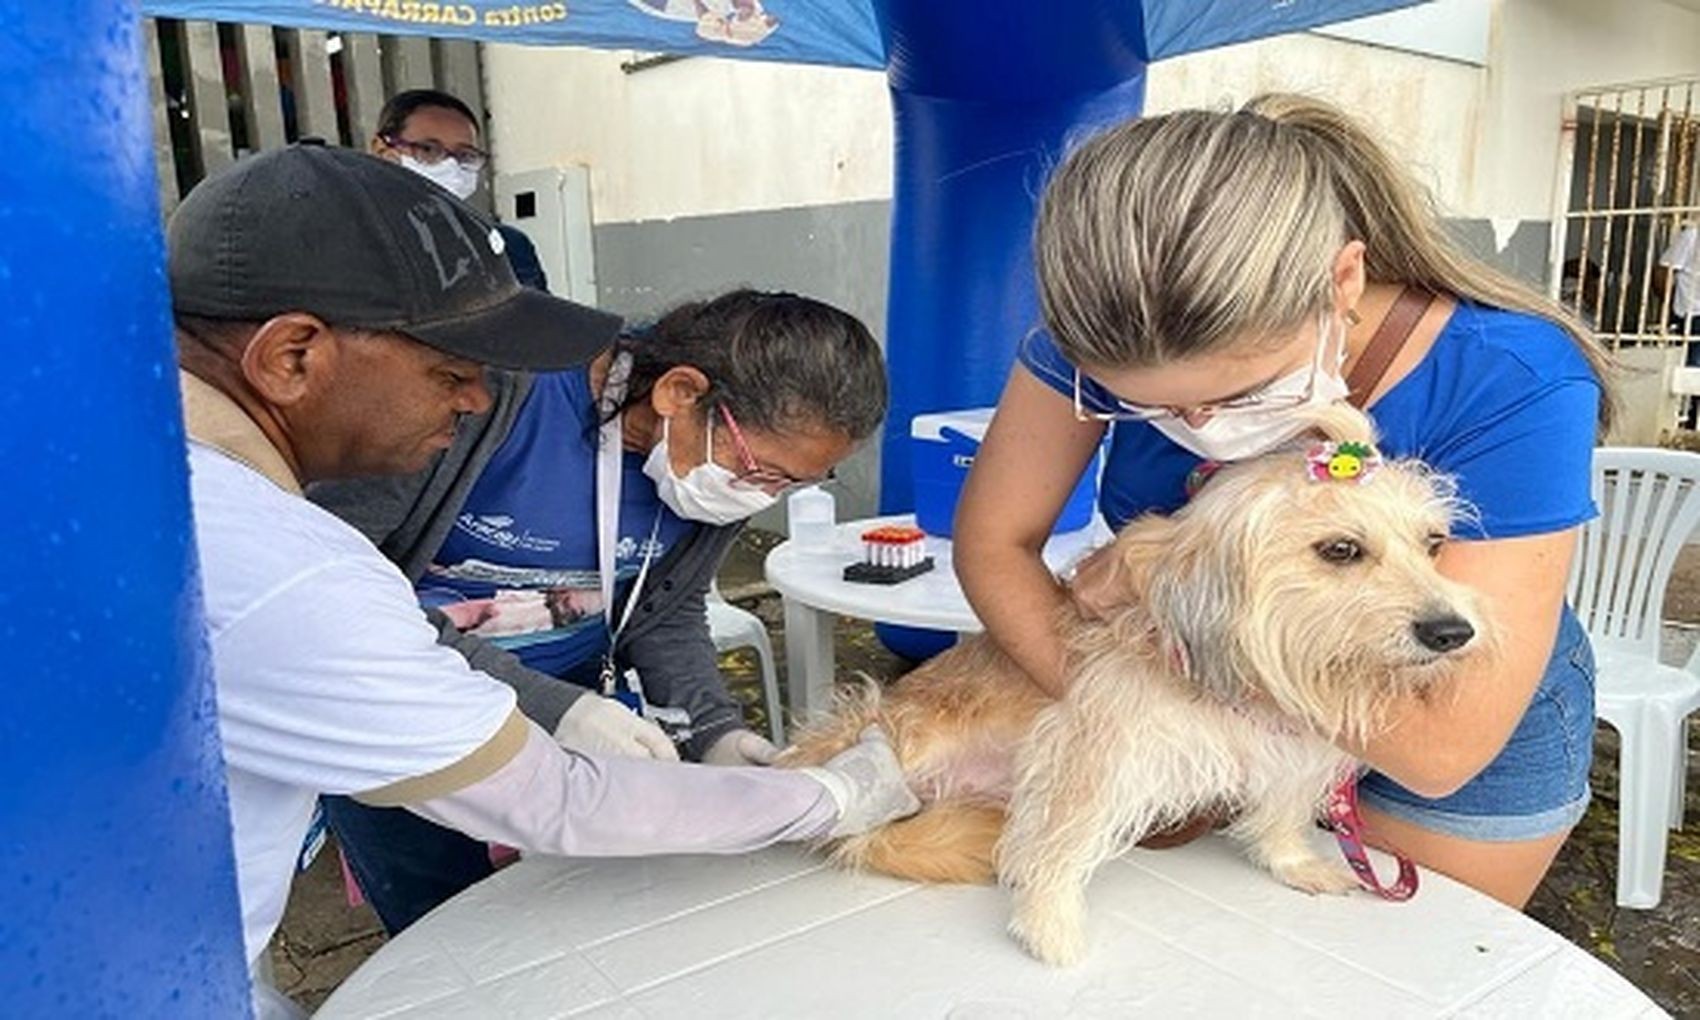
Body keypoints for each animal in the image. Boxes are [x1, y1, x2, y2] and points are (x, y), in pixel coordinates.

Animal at [778, 404, 1489, 965]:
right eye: (1341, 550)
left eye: (1433, 543)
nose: (1453, 633)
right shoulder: (1094, 746)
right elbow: (1062, 838)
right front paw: (1048, 923)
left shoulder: (1292, 748)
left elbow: (1281, 812)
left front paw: (1293, 862)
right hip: (887, 729)